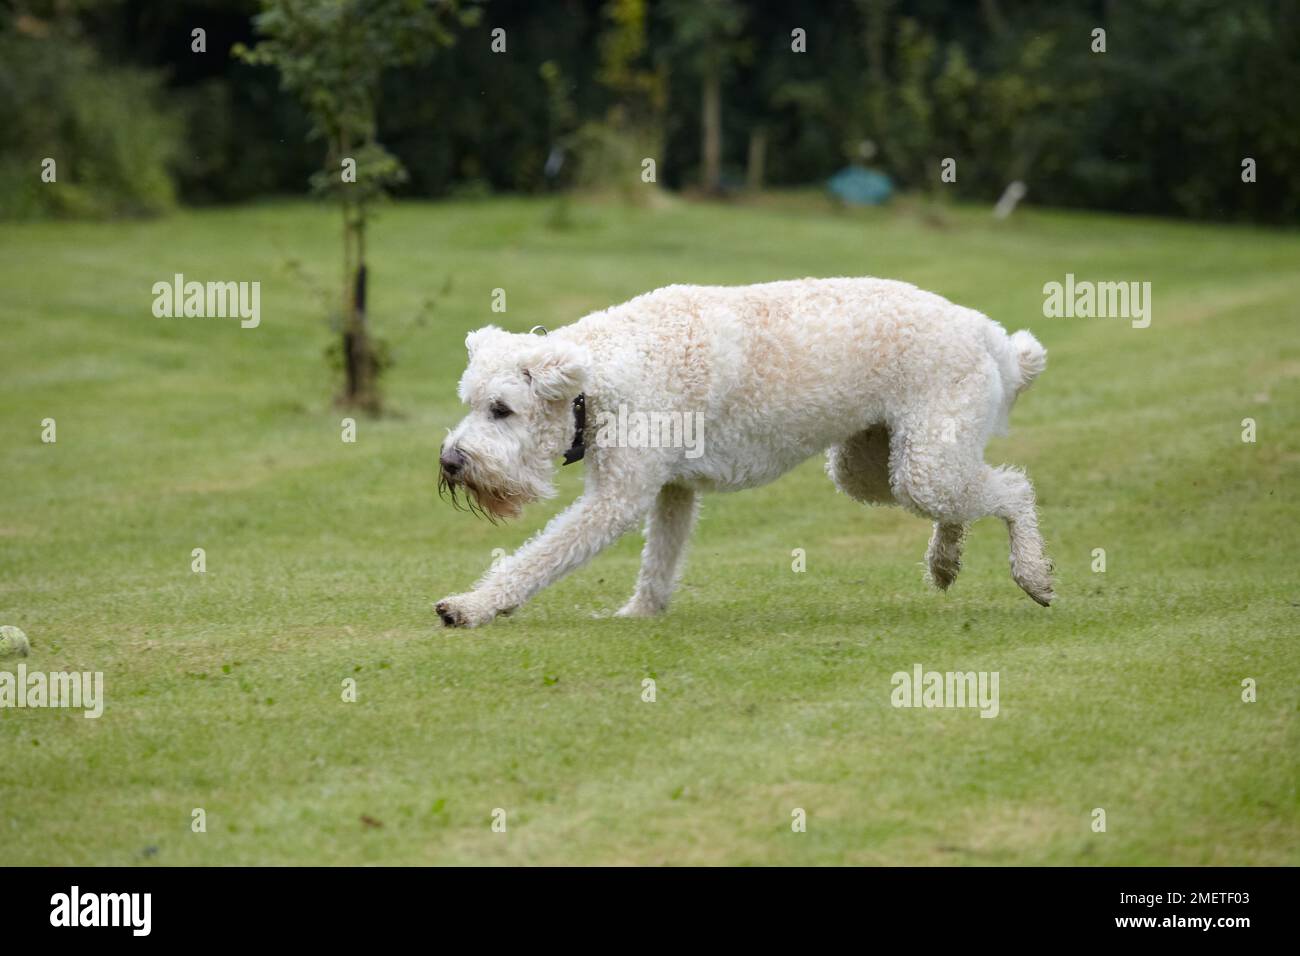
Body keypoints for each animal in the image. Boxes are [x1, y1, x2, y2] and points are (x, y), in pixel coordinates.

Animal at [434, 278, 1045, 629]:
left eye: (502, 410)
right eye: (470, 403)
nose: (451, 462)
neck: (603, 375)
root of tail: (989, 333)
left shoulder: (616, 501)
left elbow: (537, 558)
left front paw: (473, 606)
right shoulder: (673, 490)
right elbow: (659, 561)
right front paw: (641, 613)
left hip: (923, 465)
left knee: (1014, 488)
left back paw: (1033, 574)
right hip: (871, 467)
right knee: (960, 501)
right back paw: (944, 563)